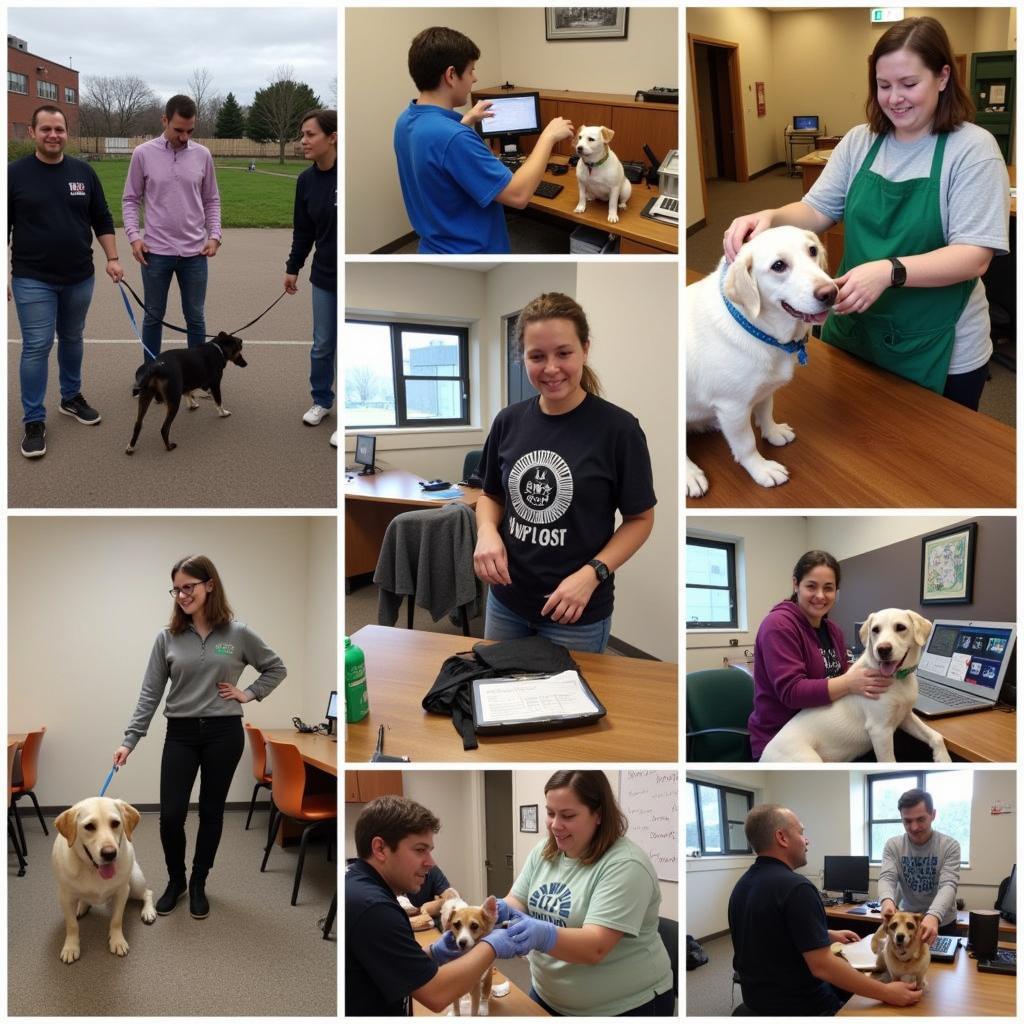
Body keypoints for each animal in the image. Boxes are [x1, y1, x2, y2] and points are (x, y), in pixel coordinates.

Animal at [50, 794, 155, 962]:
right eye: (89, 826)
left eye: (115, 823)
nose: (109, 853)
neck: (93, 869)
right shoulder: (65, 897)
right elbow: (72, 926)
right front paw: (71, 947)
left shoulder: (122, 892)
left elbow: (116, 920)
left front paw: (117, 941)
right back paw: (81, 907)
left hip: (135, 883)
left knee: (148, 893)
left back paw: (148, 912)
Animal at [684, 226, 835, 497]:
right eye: (778, 266)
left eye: (812, 250)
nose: (831, 293)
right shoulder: (732, 407)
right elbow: (746, 444)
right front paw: (761, 468)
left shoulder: (765, 389)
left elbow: (766, 411)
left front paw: (773, 431)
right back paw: (689, 474)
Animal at [761, 606, 950, 761]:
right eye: (875, 630)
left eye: (900, 627)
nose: (883, 649)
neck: (898, 680)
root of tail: (763, 757)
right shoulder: (880, 730)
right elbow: (889, 761)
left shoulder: (905, 717)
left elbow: (937, 736)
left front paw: (943, 758)